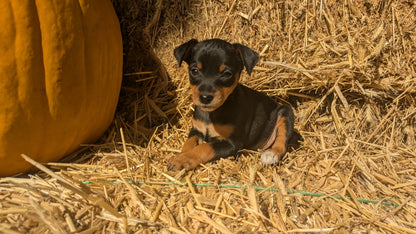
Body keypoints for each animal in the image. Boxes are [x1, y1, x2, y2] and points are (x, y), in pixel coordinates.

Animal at [167, 38, 294, 170]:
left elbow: (205, 147)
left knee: (282, 139)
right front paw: (180, 156)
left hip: (286, 111)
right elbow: (188, 143)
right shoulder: (196, 130)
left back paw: (271, 154)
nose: (205, 98)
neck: (212, 114)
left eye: (227, 74)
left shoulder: (232, 143)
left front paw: (182, 159)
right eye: (194, 70)